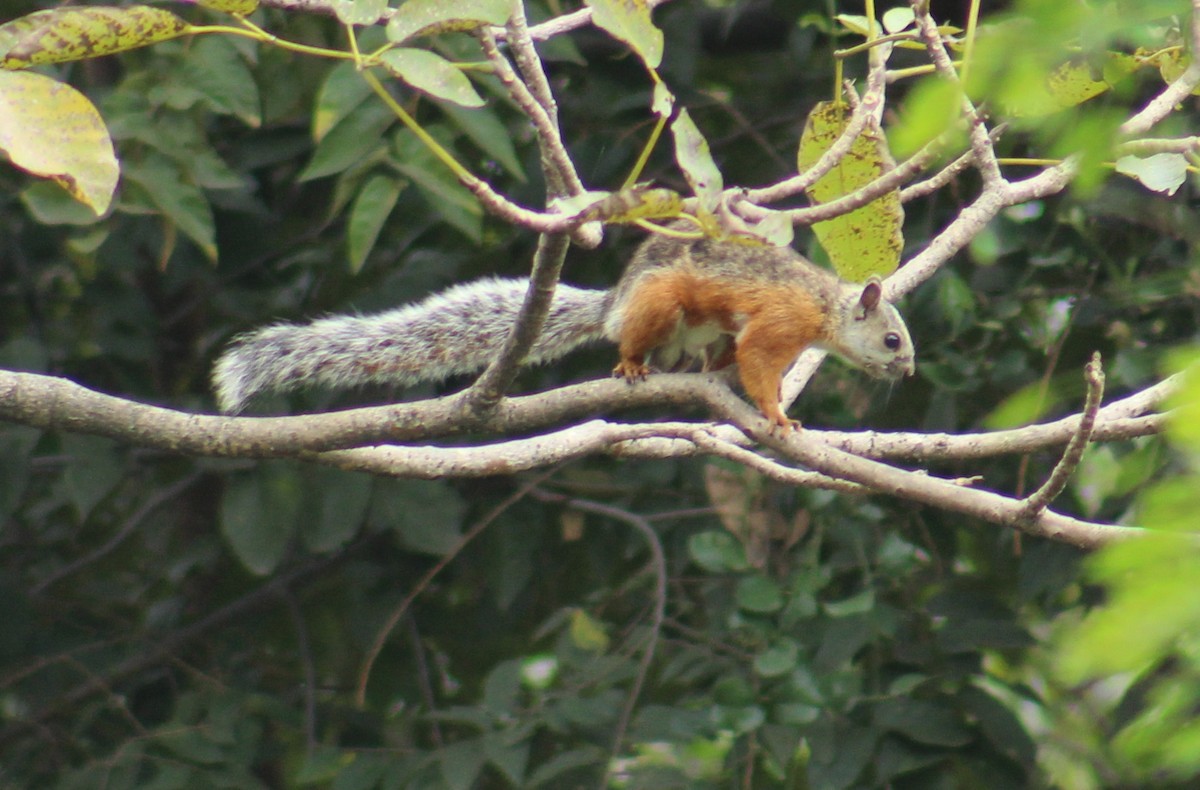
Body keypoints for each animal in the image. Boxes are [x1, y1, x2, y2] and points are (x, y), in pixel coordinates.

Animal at [212, 230, 915, 429]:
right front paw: (777, 416)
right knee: (634, 342)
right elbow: (761, 366)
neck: (825, 309)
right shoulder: (778, 323)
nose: (907, 372)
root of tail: (614, 301)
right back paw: (631, 364)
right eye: (892, 340)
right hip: (660, 306)